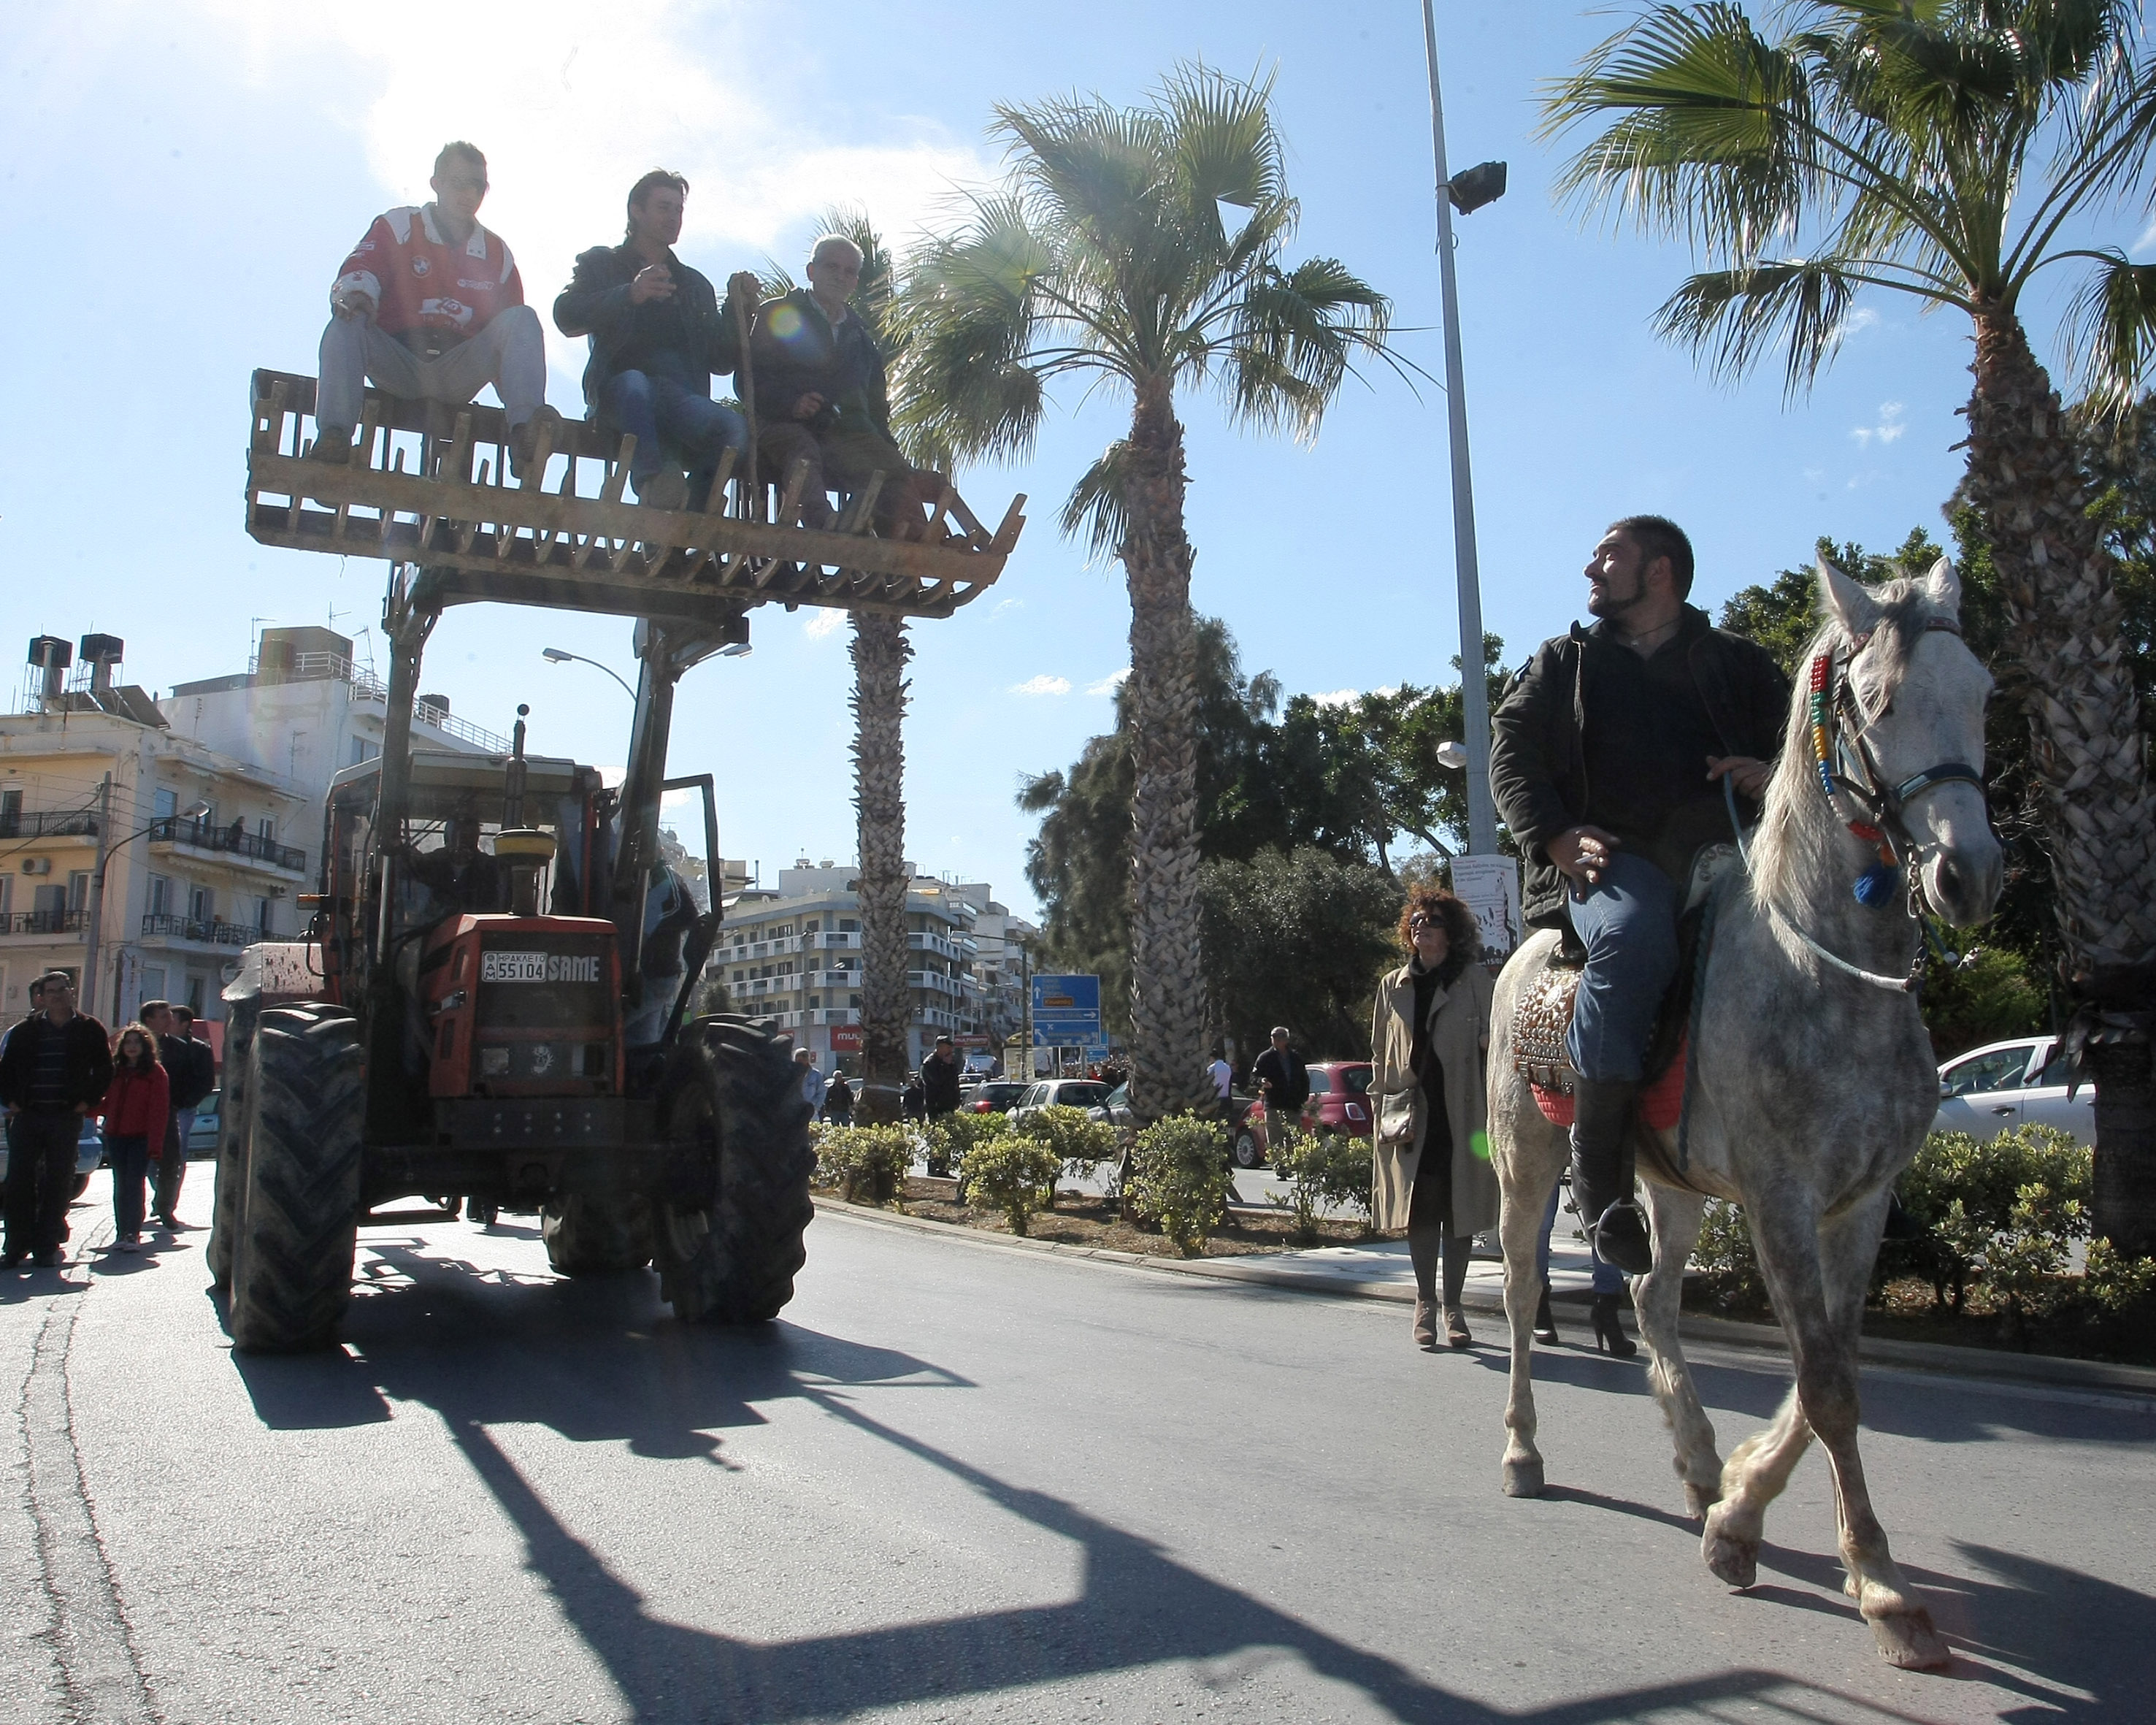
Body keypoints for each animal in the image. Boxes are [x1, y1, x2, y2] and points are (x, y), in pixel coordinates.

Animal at [1492, 560, 1992, 1673]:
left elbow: (1827, 1369)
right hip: (1527, 1164)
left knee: (1649, 1299)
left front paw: (1736, 1511)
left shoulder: (1862, 1201)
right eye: (1877, 701)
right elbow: (1826, 1383)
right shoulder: (1779, 1197)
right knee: (1519, 1292)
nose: (1968, 871)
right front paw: (1884, 1587)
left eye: (1981, 690)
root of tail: (1522, 949)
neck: (1823, 968)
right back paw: (1523, 1447)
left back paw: (1694, 1462)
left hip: (1671, 1187)